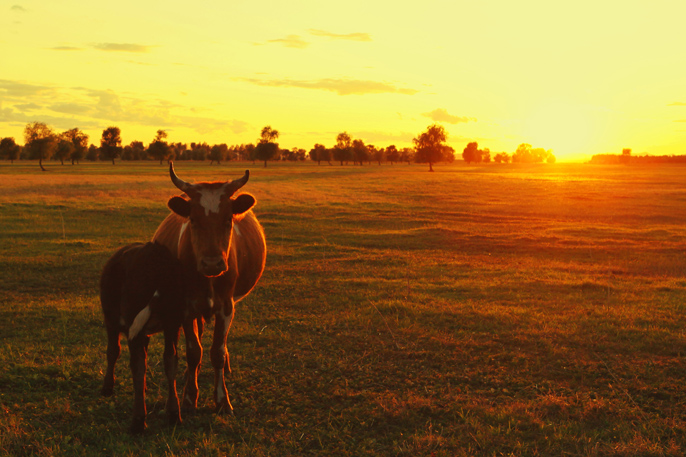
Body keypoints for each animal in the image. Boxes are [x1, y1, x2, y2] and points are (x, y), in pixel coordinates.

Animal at [99, 240, 203, 432]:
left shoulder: (112, 322)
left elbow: (113, 352)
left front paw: (108, 387)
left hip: (134, 325)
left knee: (137, 365)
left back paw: (138, 421)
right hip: (172, 324)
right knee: (170, 360)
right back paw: (174, 414)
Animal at [152, 162, 268, 416]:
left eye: (228, 220)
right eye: (193, 220)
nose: (213, 263)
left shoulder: (226, 307)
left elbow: (217, 351)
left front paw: (222, 400)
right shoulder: (186, 308)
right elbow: (194, 351)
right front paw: (189, 397)